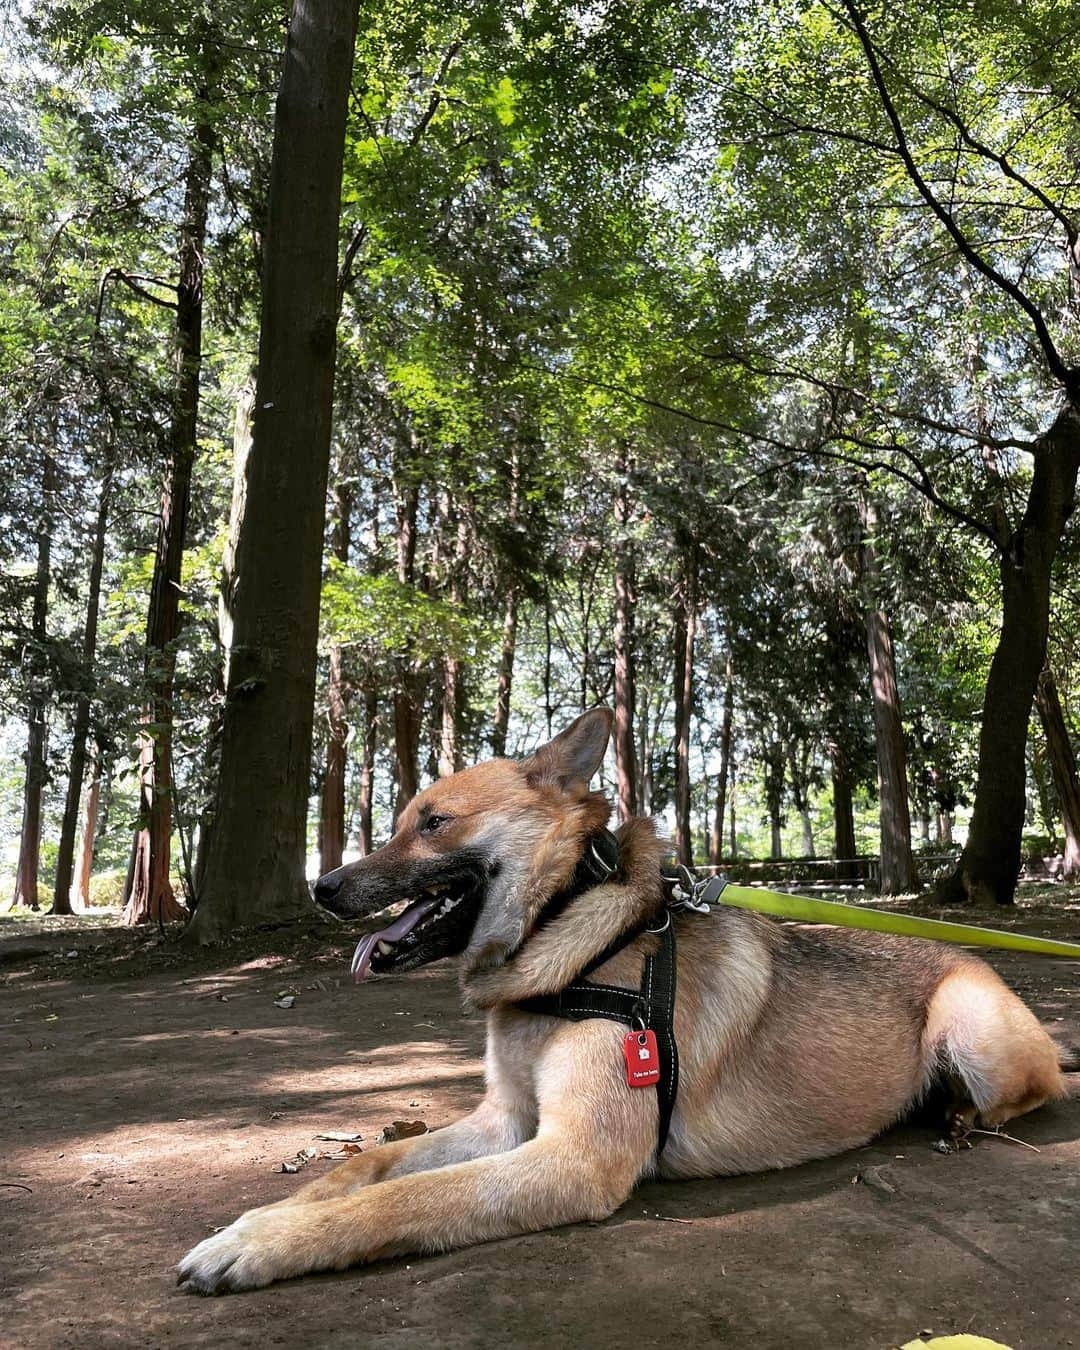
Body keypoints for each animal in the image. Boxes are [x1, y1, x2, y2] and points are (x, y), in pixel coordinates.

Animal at [176, 707, 1069, 1285]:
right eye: (403, 821)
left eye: (432, 823)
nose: (322, 888)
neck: (566, 937)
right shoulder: (504, 1122)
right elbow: (374, 1164)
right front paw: (267, 1214)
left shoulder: (572, 1158)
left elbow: (403, 1200)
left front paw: (264, 1244)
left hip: (971, 1028)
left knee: (1034, 1092)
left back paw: (958, 1112)